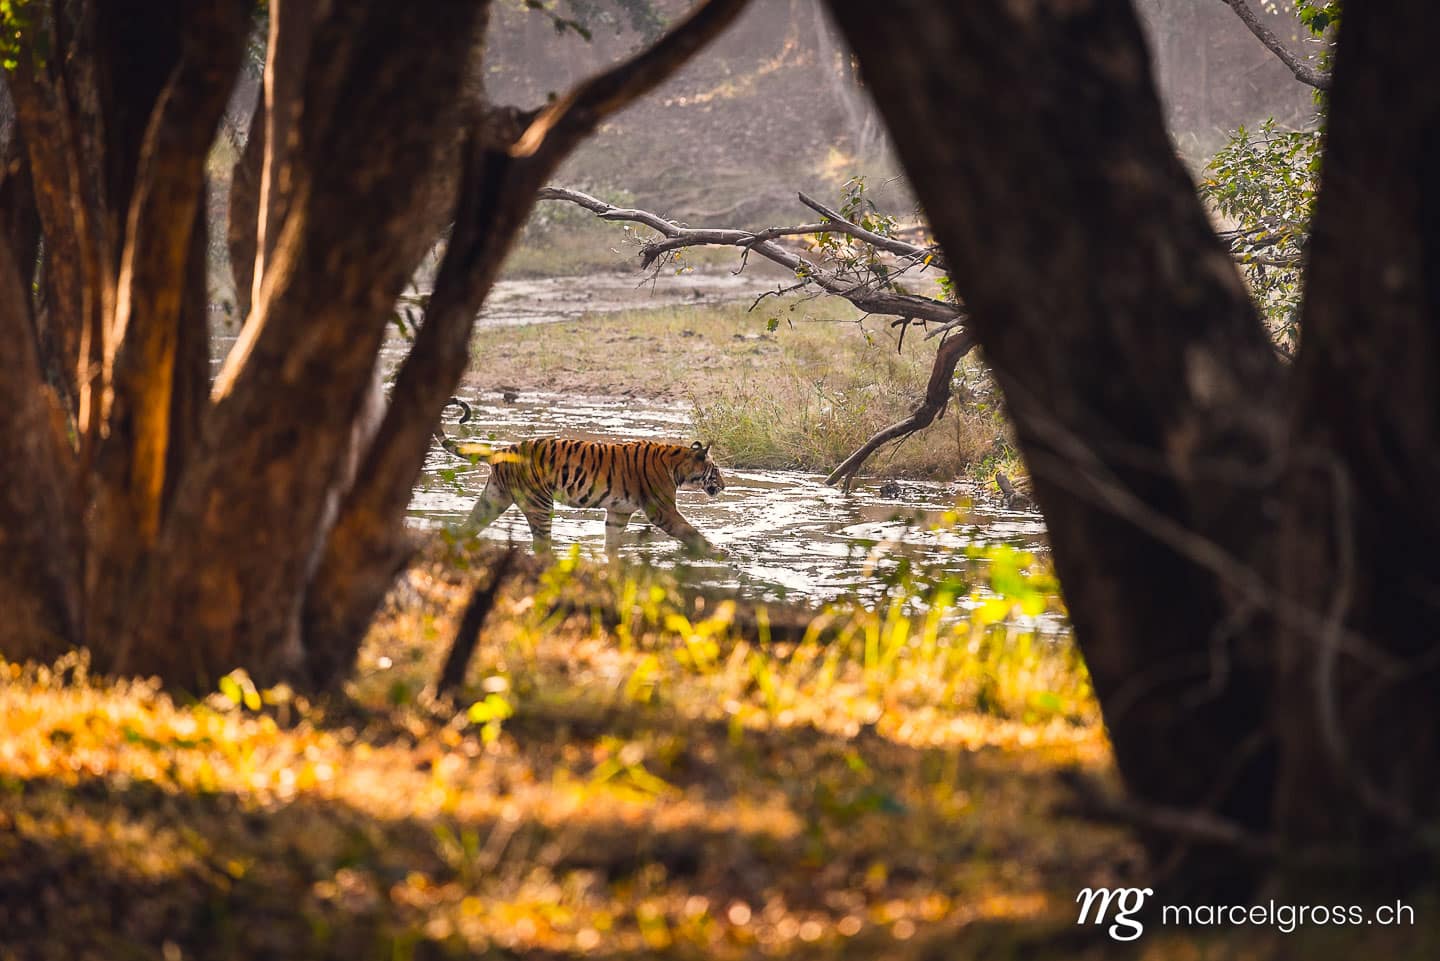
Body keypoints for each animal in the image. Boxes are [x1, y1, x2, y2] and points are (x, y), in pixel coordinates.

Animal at [436, 398, 726, 555]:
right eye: (716, 470)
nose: (724, 486)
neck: (677, 465)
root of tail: (502, 450)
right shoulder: (662, 510)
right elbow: (689, 531)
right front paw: (717, 552)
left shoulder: (619, 512)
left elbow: (612, 544)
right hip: (540, 504)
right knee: (541, 545)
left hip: (494, 498)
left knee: (467, 527)